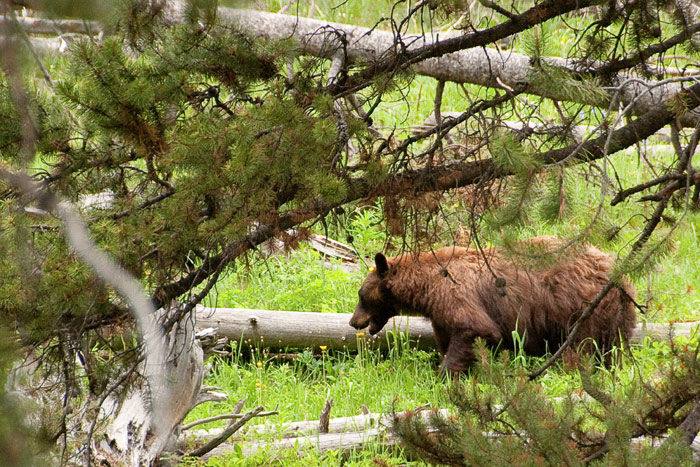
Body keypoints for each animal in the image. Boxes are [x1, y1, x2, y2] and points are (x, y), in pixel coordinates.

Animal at [348, 238, 636, 372]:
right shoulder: (440, 313)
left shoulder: (456, 295)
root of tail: (618, 274)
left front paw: (446, 375)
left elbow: (475, 329)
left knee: (581, 346)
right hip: (617, 315)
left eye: (361, 296)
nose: (353, 321)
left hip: (580, 309)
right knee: (613, 347)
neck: (425, 287)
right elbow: (448, 338)